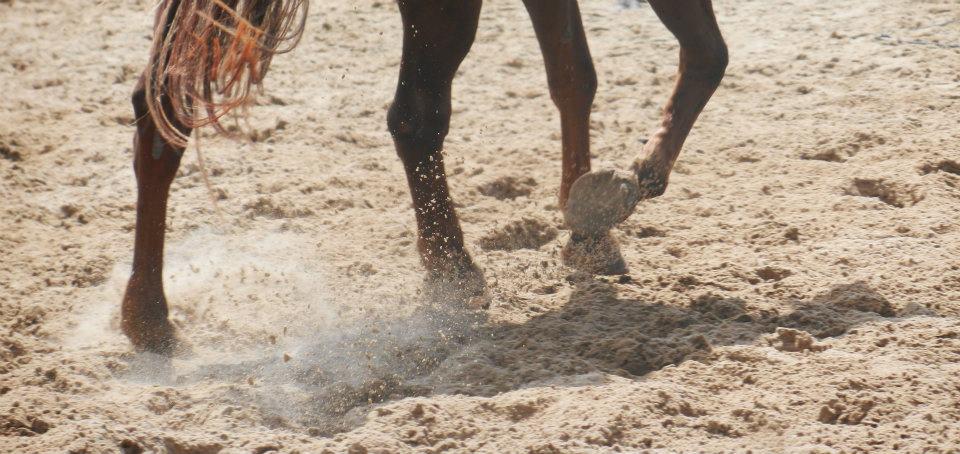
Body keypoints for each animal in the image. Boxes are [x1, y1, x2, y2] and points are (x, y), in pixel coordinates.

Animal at [123, 0, 728, 354]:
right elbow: (708, 54)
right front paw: (637, 178)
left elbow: (573, 74)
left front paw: (588, 227)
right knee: (416, 118)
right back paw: (451, 268)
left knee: (161, 106)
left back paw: (147, 316)